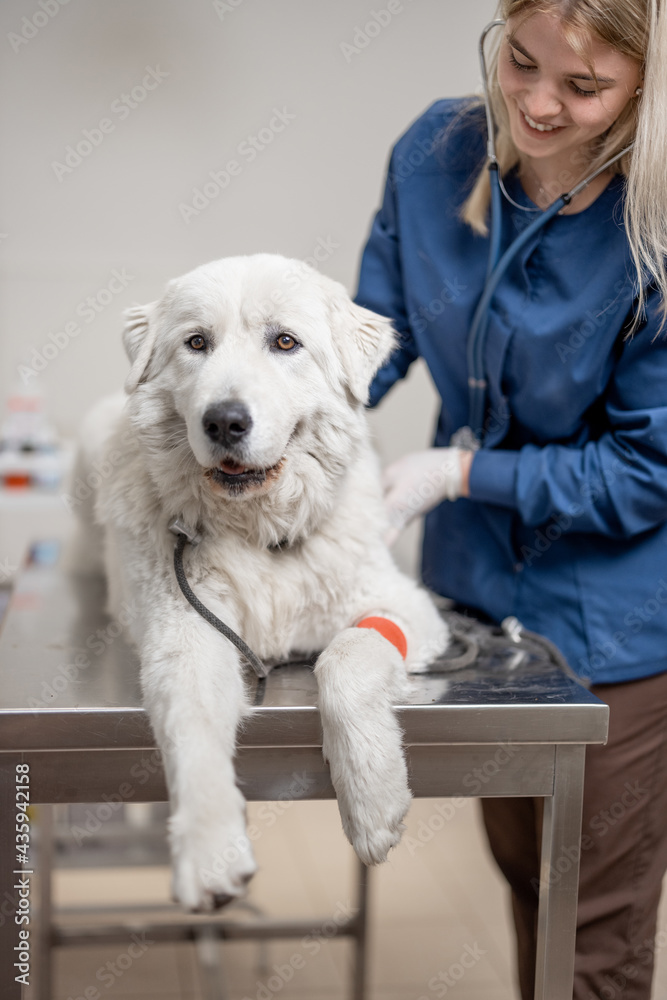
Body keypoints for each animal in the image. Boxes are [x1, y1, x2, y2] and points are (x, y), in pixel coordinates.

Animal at [72, 258, 448, 916]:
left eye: (285, 342)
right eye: (197, 342)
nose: (224, 420)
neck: (259, 532)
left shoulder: (405, 606)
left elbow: (347, 655)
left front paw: (372, 802)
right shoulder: (188, 634)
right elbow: (192, 730)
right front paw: (210, 850)